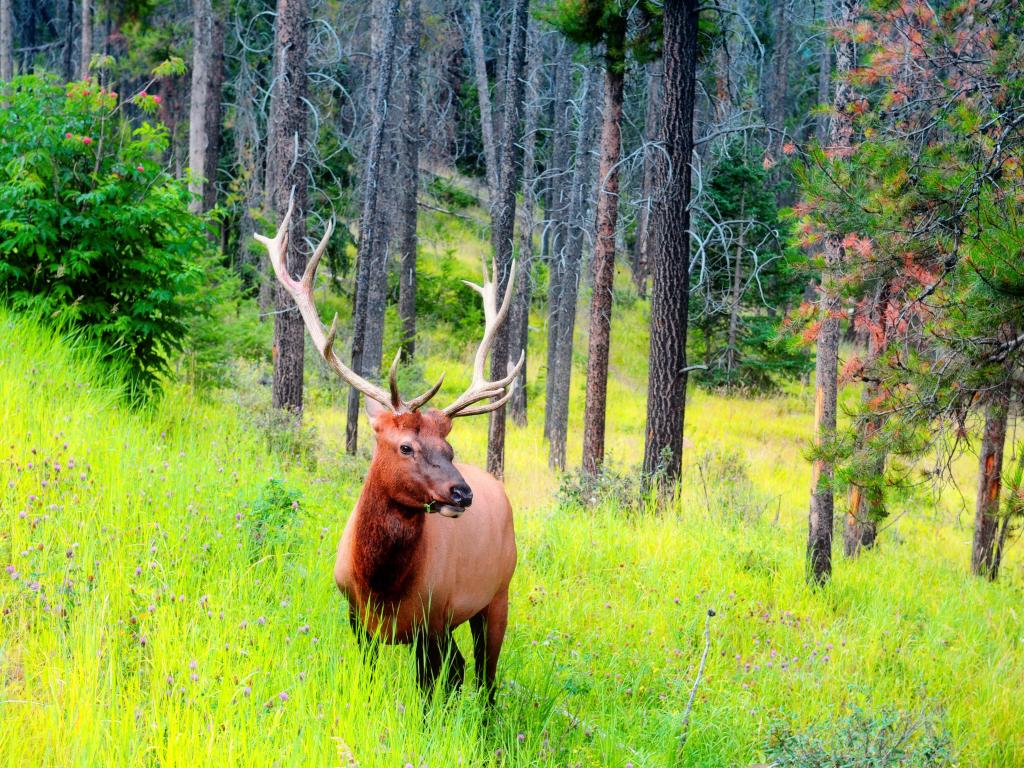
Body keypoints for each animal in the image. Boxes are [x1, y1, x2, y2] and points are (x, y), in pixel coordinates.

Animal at [260, 199, 524, 704]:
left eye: (450, 447)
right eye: (405, 446)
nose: (461, 494)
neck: (381, 585)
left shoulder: (433, 620)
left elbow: (428, 692)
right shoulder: (356, 618)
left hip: (497, 594)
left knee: (485, 677)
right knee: (465, 669)